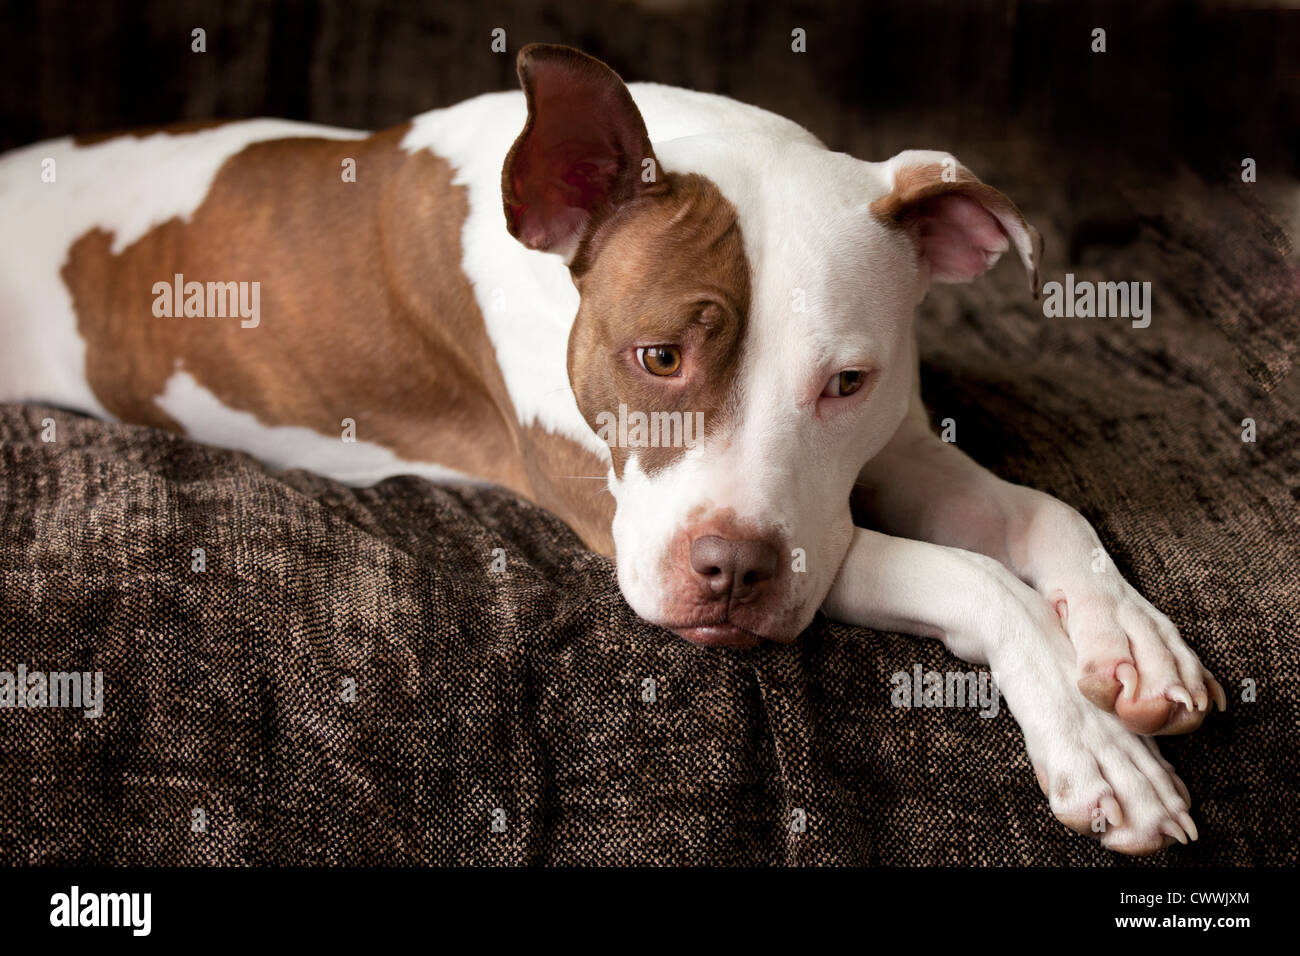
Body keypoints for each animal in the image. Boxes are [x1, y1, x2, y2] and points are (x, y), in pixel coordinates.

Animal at [0, 44, 1222, 858]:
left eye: (846, 382)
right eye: (656, 357)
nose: (732, 573)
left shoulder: (891, 456)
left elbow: (1037, 513)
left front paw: (1131, 640)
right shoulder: (647, 524)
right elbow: (973, 575)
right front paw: (1094, 740)